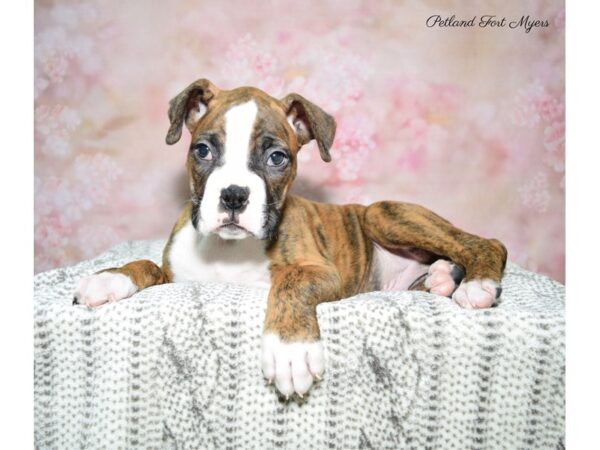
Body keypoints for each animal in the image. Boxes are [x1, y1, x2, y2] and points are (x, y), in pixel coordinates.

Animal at [74, 79, 506, 400]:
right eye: (203, 150)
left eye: (277, 158)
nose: (233, 195)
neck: (228, 251)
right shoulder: (175, 274)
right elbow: (145, 264)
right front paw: (108, 279)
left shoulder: (320, 271)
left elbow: (288, 284)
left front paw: (289, 351)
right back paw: (442, 278)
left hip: (382, 214)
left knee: (487, 243)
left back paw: (477, 284)